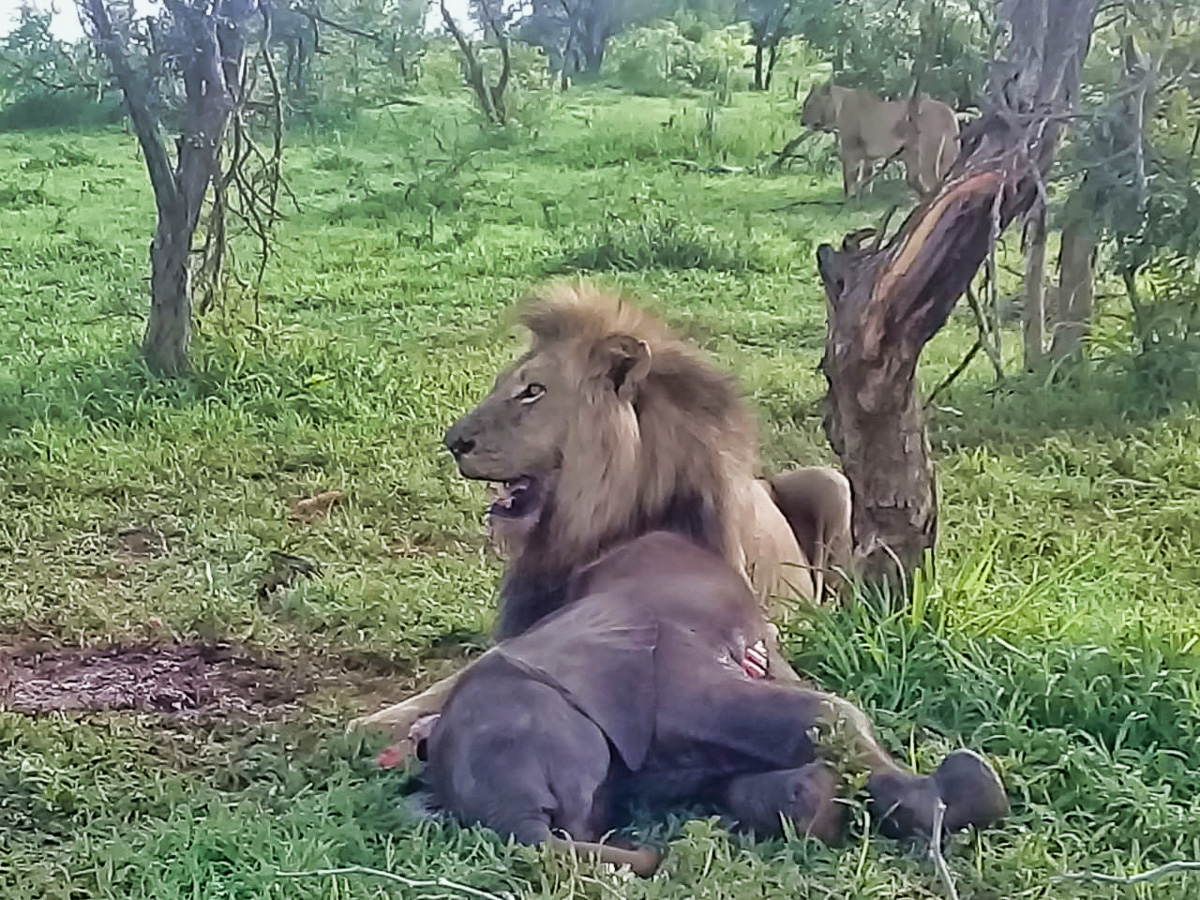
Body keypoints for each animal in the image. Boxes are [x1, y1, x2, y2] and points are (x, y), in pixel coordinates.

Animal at [801, 80, 960, 196]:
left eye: (809, 105)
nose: (801, 121)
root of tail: (947, 110)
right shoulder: (868, 156)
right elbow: (866, 175)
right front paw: (864, 197)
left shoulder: (850, 148)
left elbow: (849, 175)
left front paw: (849, 197)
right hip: (944, 155)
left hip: (926, 156)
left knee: (933, 182)